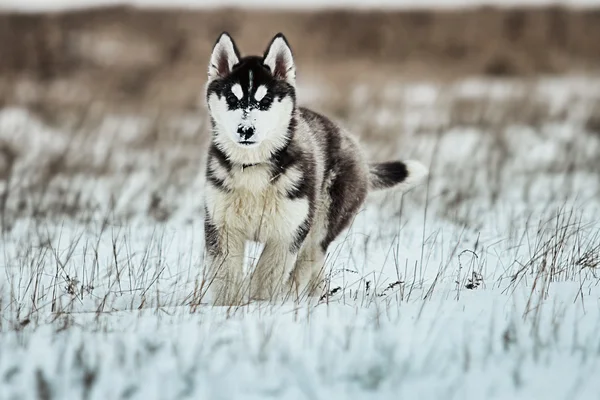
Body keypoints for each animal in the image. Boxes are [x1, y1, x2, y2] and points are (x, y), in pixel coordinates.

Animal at [204, 32, 428, 306]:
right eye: (232, 99)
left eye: (265, 101)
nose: (246, 130)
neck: (254, 167)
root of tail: (356, 148)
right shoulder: (223, 227)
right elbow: (226, 278)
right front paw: (228, 308)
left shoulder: (287, 234)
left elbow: (267, 277)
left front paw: (261, 306)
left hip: (321, 224)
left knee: (307, 262)